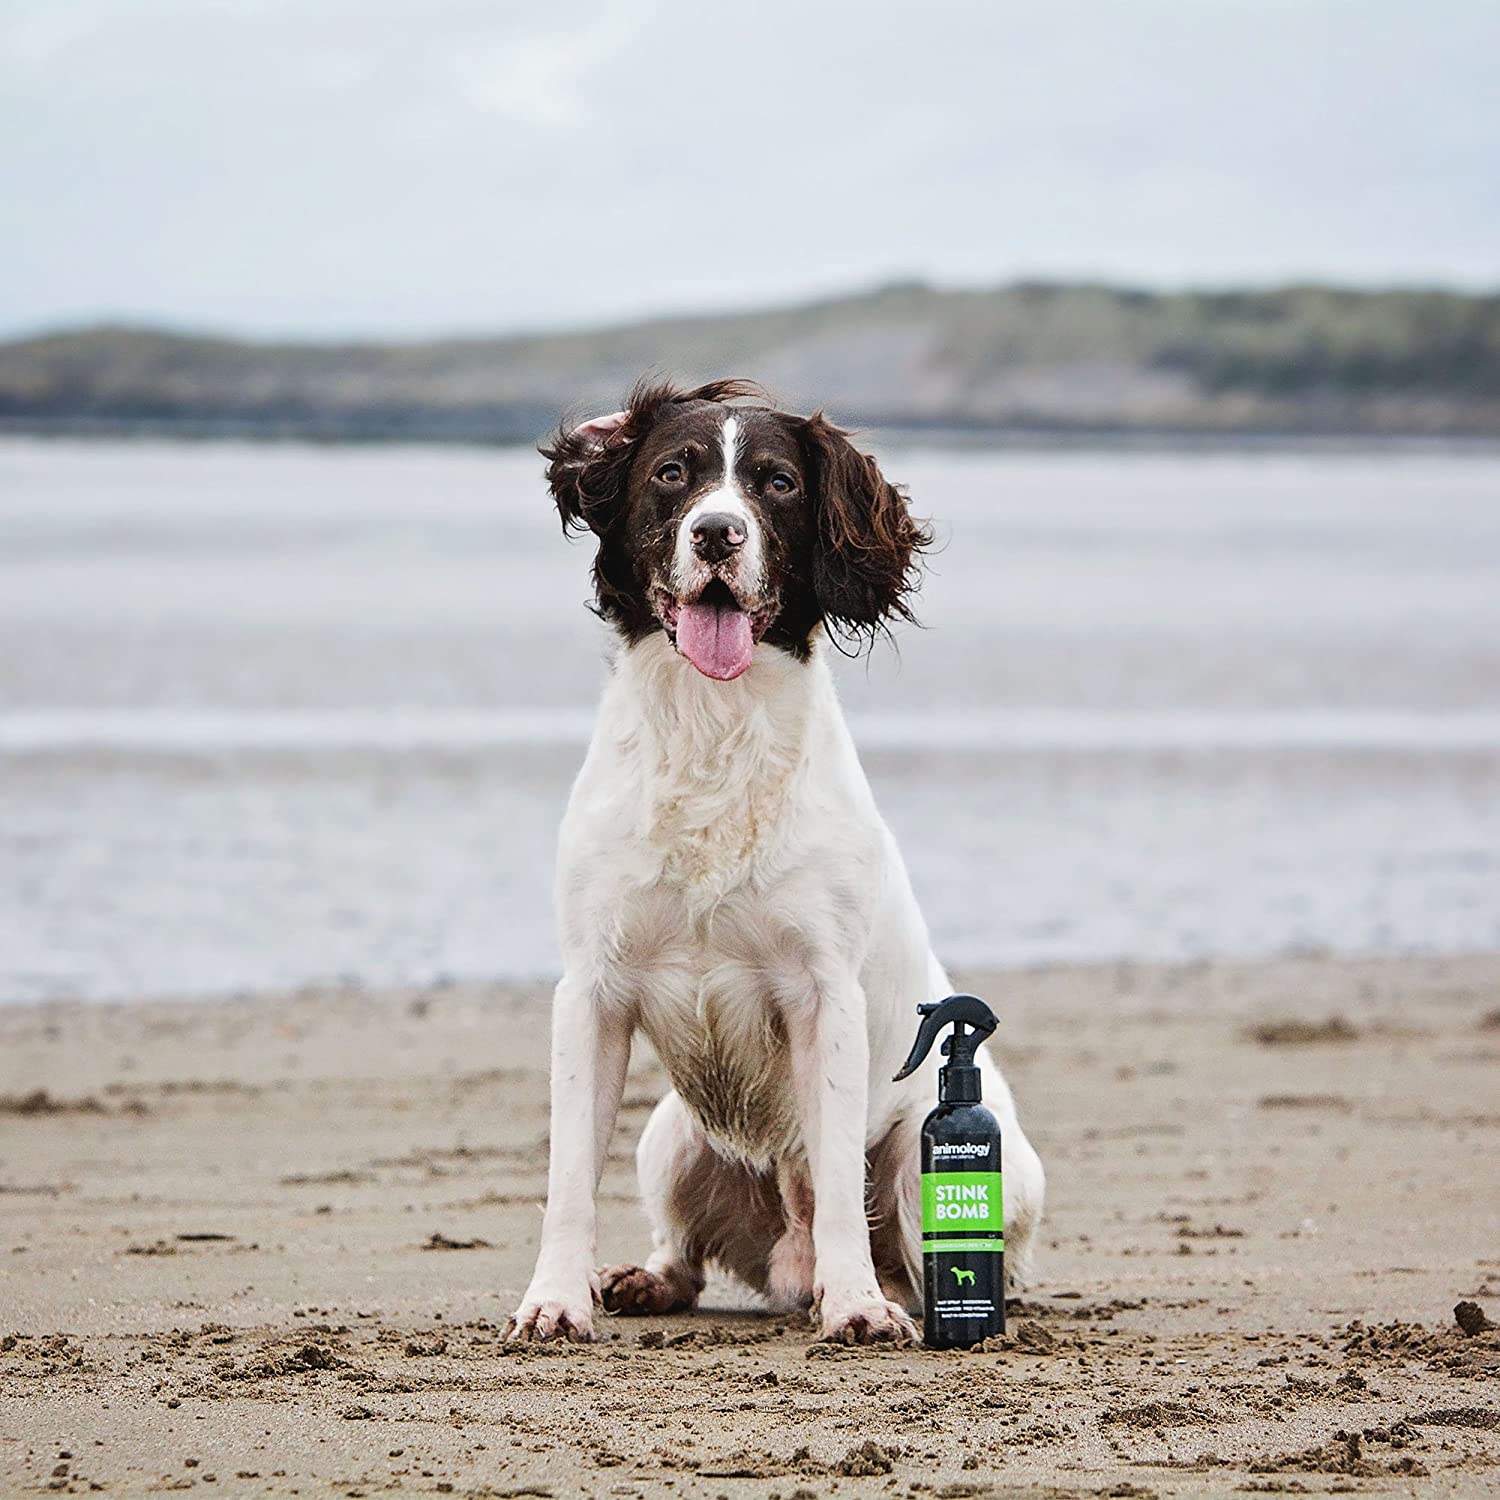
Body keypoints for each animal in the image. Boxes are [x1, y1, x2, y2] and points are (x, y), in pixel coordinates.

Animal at [504, 381, 1044, 1344]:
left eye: (778, 482)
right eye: (672, 473)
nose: (717, 533)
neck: (713, 728)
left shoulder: (824, 992)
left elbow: (832, 1176)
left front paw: (858, 1305)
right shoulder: (592, 991)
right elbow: (568, 1177)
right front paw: (555, 1300)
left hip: (933, 1155)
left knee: (908, 1243)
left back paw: (881, 1293)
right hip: (673, 1137)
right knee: (684, 1251)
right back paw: (645, 1280)